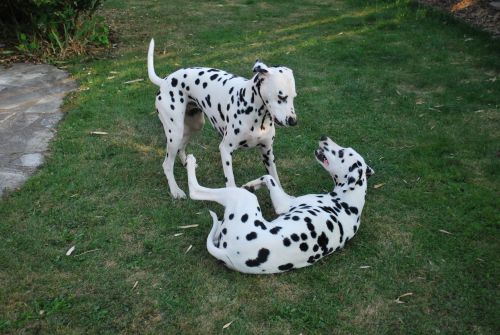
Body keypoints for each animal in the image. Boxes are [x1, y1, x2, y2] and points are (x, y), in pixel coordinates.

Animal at [147, 38, 296, 200]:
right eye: (281, 97)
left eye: (294, 97)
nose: (293, 121)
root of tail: (165, 80)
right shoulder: (225, 149)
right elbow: (230, 181)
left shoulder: (267, 152)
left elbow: (275, 179)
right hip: (174, 133)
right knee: (167, 164)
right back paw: (175, 190)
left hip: (193, 126)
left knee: (181, 147)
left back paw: (187, 164)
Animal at [186, 135, 374, 274]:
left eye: (341, 152)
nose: (323, 137)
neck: (347, 202)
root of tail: (227, 252)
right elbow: (268, 178)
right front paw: (253, 184)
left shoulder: (284, 204)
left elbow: (268, 177)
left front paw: (252, 184)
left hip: (242, 197)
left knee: (195, 191)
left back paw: (191, 162)